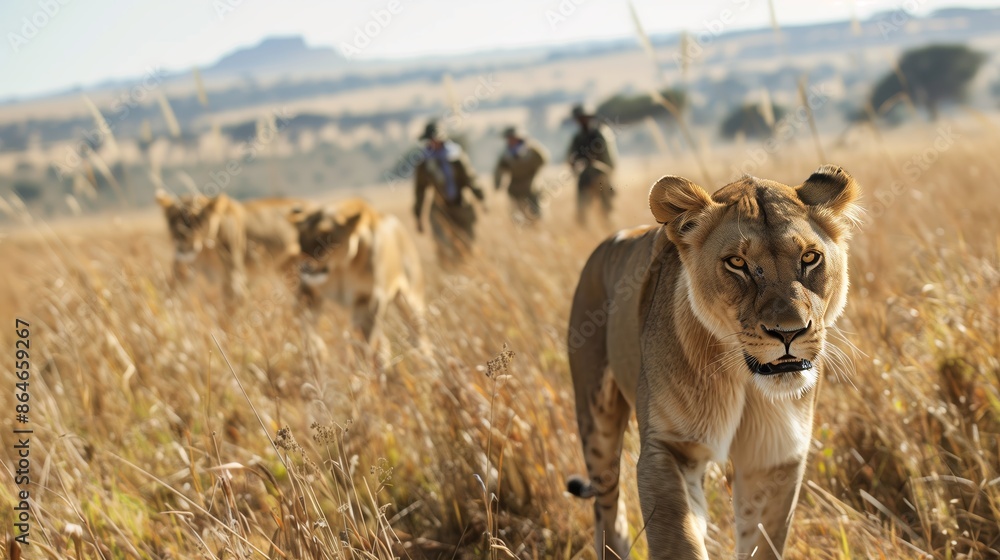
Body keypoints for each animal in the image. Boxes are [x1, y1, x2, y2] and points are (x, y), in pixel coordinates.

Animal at [156, 190, 311, 299]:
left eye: (197, 219)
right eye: (173, 220)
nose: (182, 239)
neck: (205, 249)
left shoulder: (235, 283)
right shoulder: (182, 277)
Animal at [289, 198, 425, 355]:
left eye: (326, 235)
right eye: (301, 237)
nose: (305, 265)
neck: (340, 268)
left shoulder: (368, 299)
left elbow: (364, 341)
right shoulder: (309, 293)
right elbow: (305, 326)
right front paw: (315, 350)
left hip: (410, 300)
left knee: (419, 334)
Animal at [566, 165, 860, 559]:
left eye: (810, 258)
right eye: (737, 263)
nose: (789, 332)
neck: (744, 380)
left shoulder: (774, 458)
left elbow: (762, 543)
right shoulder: (666, 447)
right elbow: (677, 541)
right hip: (596, 419)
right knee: (607, 508)